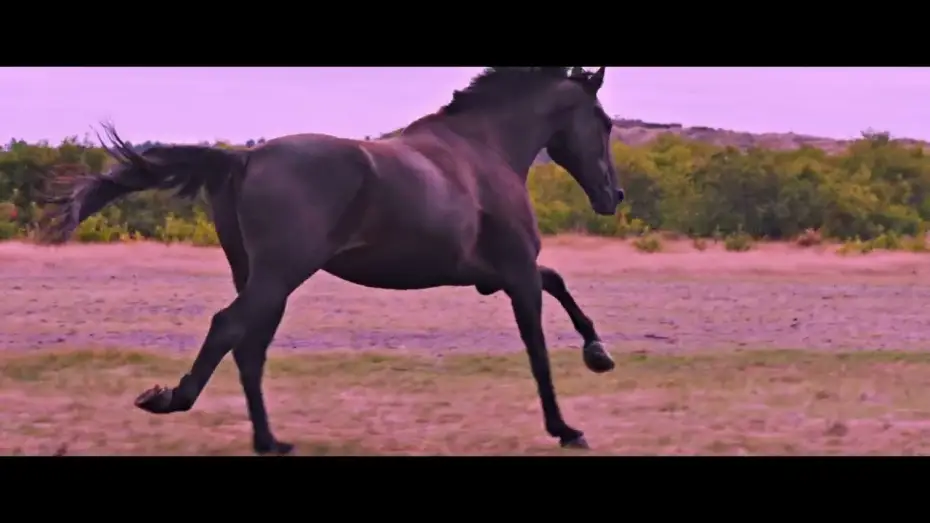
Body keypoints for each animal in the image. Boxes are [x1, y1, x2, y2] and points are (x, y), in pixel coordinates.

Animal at [40, 66, 624, 454]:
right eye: (604, 121)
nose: (613, 195)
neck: (483, 151)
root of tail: (244, 159)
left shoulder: (492, 275)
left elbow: (558, 283)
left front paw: (599, 354)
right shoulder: (516, 274)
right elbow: (539, 348)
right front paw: (567, 428)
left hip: (260, 278)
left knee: (249, 346)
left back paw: (270, 440)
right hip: (279, 275)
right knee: (229, 328)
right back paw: (172, 400)